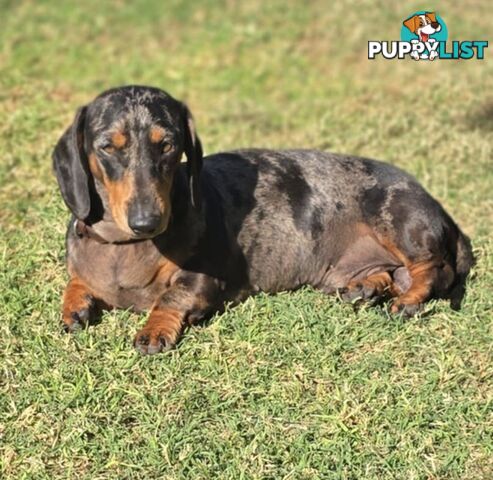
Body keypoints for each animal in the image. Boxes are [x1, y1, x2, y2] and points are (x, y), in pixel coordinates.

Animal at [52, 85, 472, 352]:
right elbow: (76, 281)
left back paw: (408, 300)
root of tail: (435, 203)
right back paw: (365, 288)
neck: (124, 245)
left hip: (399, 221)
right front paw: (74, 306)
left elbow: (171, 296)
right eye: (108, 147)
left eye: (167, 144)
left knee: (434, 271)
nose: (147, 221)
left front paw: (154, 331)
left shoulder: (203, 279)